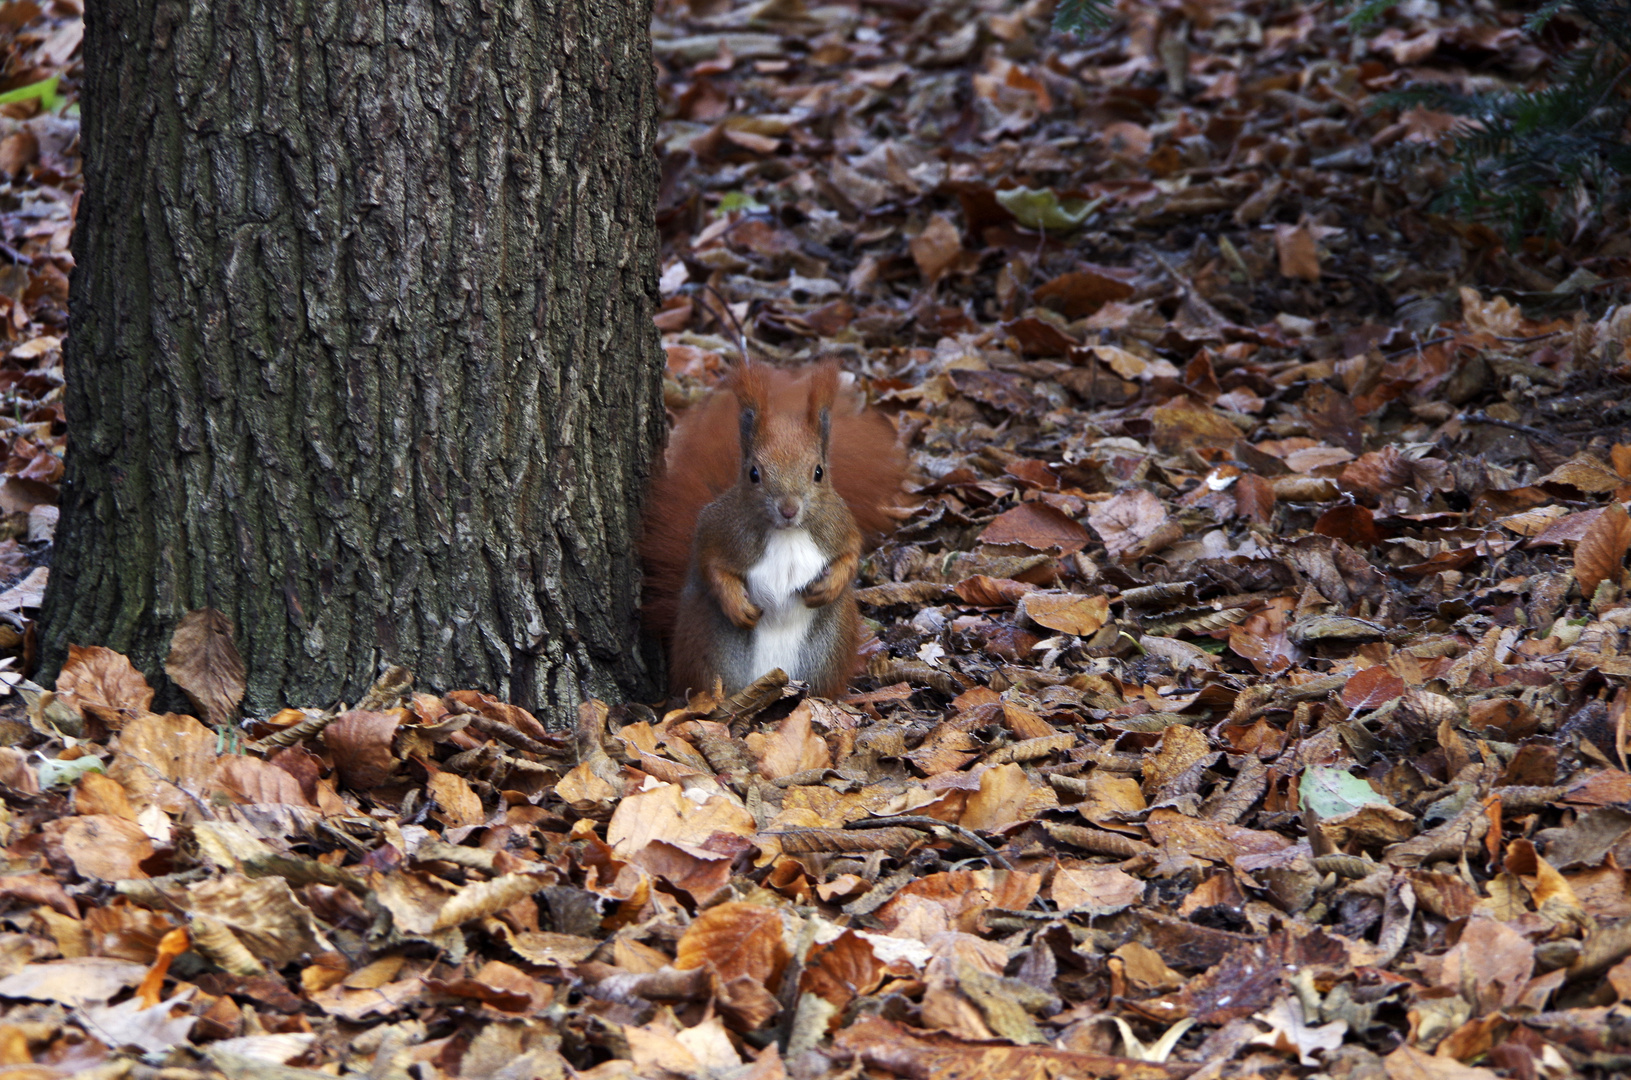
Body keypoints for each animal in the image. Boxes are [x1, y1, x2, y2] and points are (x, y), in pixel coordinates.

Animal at [642, 358, 913, 708]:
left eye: (818, 472)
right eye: (753, 473)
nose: (788, 509)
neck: (787, 533)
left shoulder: (840, 526)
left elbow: (851, 555)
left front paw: (829, 587)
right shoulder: (717, 530)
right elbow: (711, 566)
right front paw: (737, 605)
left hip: (824, 654)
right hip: (714, 655)